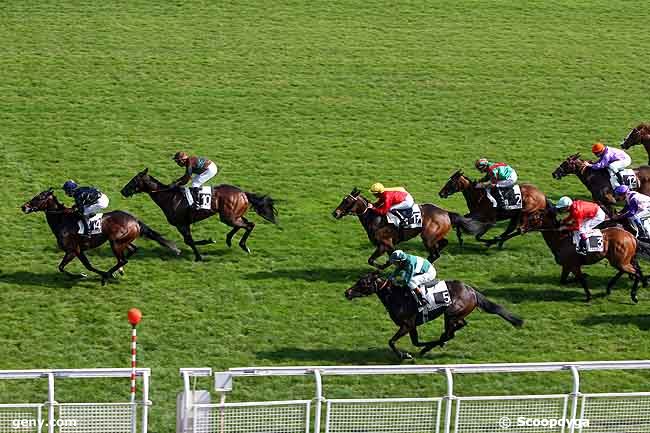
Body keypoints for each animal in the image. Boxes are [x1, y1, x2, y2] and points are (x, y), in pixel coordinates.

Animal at [21, 188, 178, 284]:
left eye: (39, 197)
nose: (24, 207)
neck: (62, 220)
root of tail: (134, 220)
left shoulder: (73, 250)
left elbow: (66, 267)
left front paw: (83, 275)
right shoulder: (78, 250)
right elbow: (83, 266)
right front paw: (90, 274)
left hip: (115, 242)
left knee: (123, 260)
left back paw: (109, 275)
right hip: (123, 241)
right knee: (132, 251)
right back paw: (118, 271)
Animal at [121, 168, 276, 260]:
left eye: (134, 180)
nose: (123, 191)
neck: (169, 197)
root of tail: (243, 193)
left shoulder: (181, 224)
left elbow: (188, 241)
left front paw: (199, 256)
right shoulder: (184, 224)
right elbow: (188, 240)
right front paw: (208, 241)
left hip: (229, 217)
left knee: (249, 225)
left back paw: (243, 245)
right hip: (231, 215)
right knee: (244, 224)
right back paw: (229, 239)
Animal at [332, 188, 484, 266]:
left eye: (348, 201)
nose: (335, 213)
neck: (375, 218)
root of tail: (446, 212)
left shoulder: (384, 244)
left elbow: (374, 260)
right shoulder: (387, 245)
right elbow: (382, 259)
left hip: (428, 237)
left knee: (435, 253)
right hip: (434, 236)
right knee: (442, 244)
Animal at [344, 272, 520, 360]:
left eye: (363, 283)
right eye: (358, 280)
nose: (347, 292)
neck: (397, 296)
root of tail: (471, 290)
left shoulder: (407, 325)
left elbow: (392, 342)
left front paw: (404, 355)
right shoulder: (412, 326)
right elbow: (415, 342)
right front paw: (415, 351)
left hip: (451, 313)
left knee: (450, 333)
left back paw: (436, 343)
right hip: (456, 314)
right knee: (458, 327)